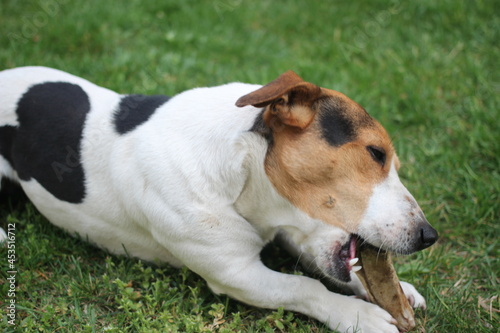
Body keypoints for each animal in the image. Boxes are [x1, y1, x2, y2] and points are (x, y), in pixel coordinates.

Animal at [0, 67, 438, 332]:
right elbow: (304, 287)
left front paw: (397, 290)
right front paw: (359, 315)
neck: (241, 173)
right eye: (376, 154)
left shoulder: (291, 231)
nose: (428, 235)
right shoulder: (236, 274)